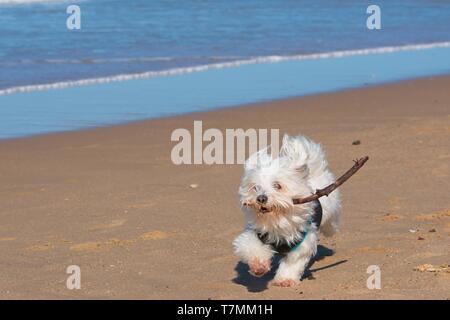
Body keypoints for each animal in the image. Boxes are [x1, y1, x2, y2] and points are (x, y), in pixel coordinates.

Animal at [232, 135, 342, 288]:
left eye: (277, 185)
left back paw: (330, 229)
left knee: (330, 223)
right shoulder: (255, 234)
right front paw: (259, 265)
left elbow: (293, 263)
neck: (277, 219)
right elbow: (252, 247)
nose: (261, 198)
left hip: (330, 207)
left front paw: (285, 279)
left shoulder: (302, 243)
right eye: (255, 187)